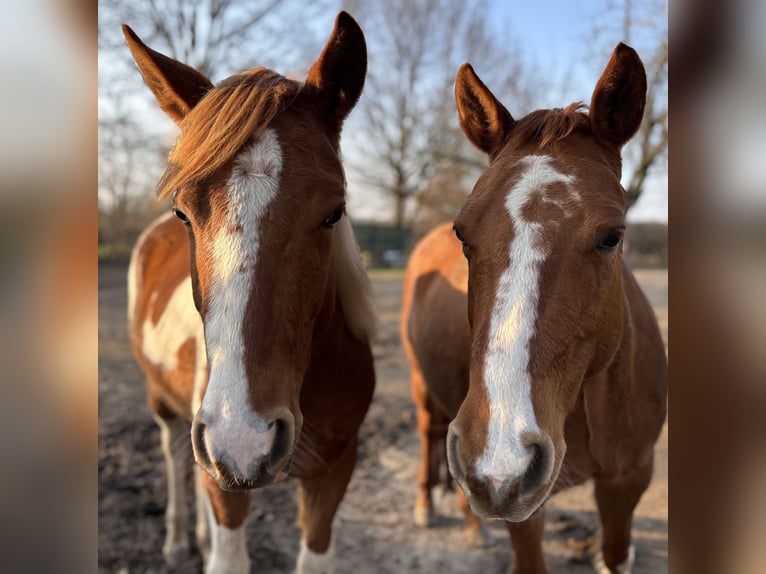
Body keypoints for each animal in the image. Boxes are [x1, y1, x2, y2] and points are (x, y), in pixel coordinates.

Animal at [127, 11, 378, 572]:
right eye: (184, 214)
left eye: (334, 212)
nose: (245, 441)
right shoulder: (225, 477)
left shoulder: (334, 472)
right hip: (168, 409)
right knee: (174, 457)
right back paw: (177, 540)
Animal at [404, 42, 668, 572]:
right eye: (463, 234)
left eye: (613, 236)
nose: (499, 457)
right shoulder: (526, 508)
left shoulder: (629, 481)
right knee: (426, 433)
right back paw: (429, 505)